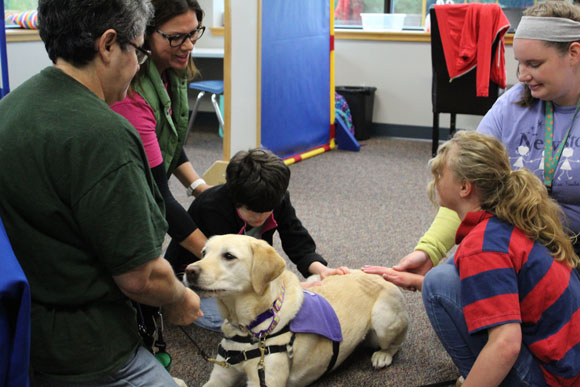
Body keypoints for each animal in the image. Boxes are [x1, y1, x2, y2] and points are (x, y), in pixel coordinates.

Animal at [185, 235, 408, 386]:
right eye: (203, 253)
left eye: (229, 256)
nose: (189, 271)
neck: (249, 326)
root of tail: (380, 274)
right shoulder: (221, 375)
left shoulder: (265, 379)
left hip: (383, 319)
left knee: (396, 344)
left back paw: (383, 355)